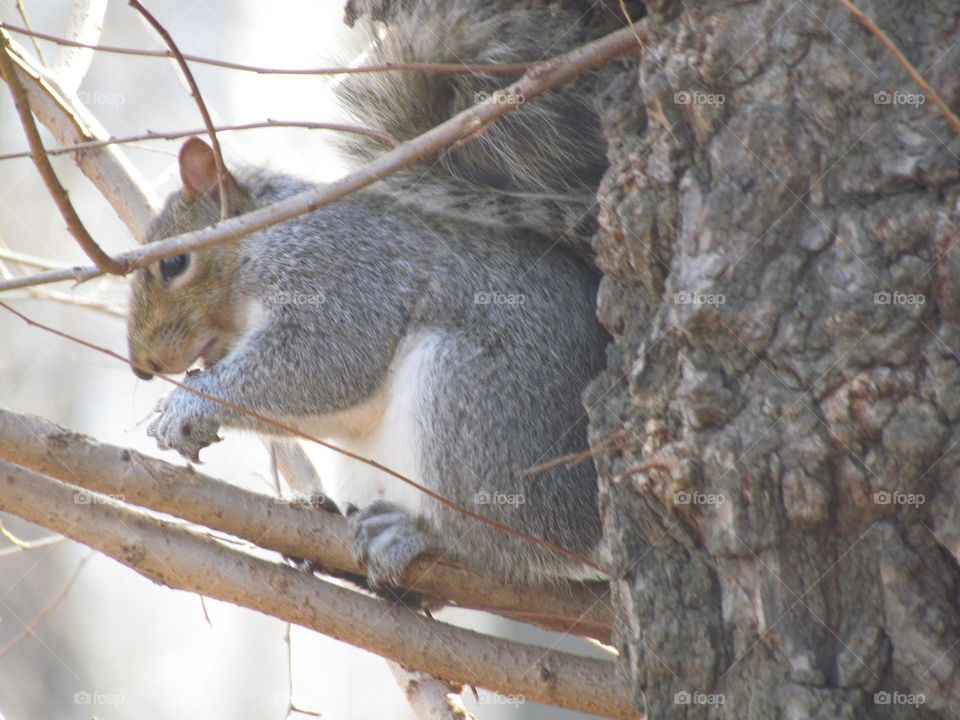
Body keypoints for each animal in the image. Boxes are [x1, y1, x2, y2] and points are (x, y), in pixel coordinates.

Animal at [127, 0, 626, 588]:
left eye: (174, 263)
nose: (142, 366)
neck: (258, 240)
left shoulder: (340, 272)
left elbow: (330, 360)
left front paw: (189, 403)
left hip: (475, 405)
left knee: (521, 546)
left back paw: (422, 535)